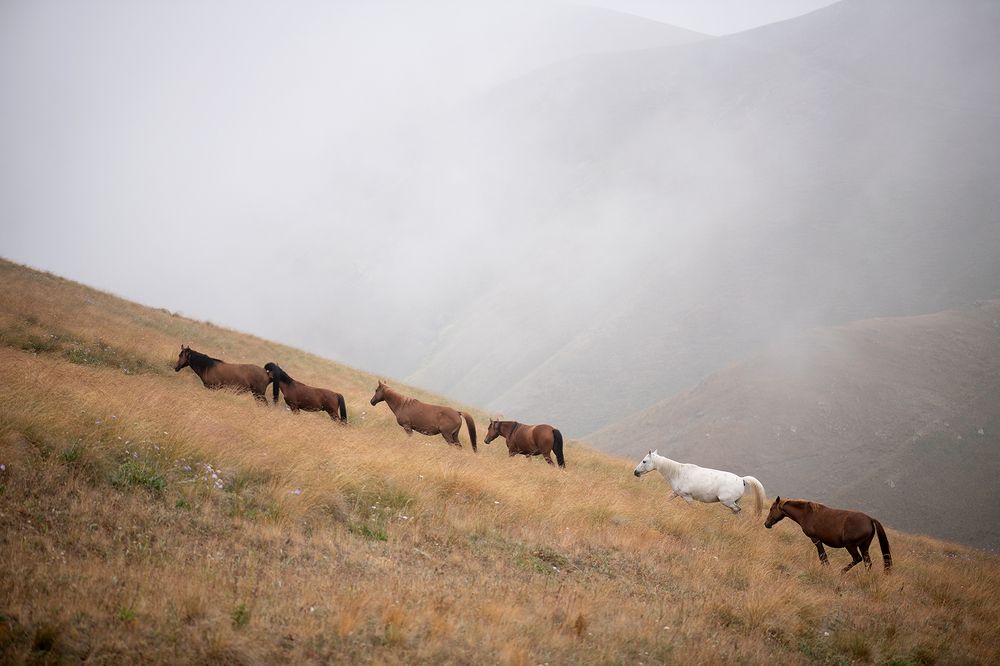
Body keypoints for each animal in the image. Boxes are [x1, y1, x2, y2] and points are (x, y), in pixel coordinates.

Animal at [633, 450, 766, 515]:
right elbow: (666, 500)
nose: (635, 472)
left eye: (644, 461)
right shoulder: (675, 493)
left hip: (727, 501)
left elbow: (693, 508)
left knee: (737, 510)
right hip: (734, 501)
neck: (677, 473)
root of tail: (742, 479)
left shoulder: (687, 497)